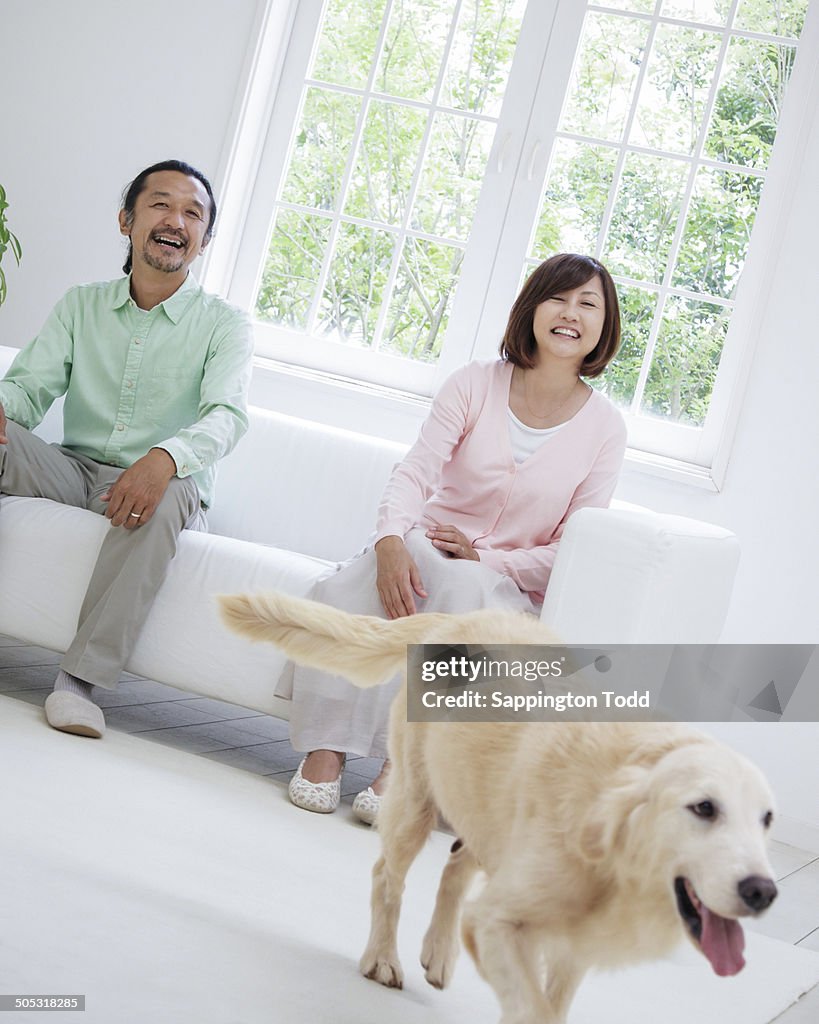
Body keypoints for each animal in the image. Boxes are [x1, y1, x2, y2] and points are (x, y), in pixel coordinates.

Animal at [221, 593, 778, 1024]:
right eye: (704, 808)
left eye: (766, 820)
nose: (763, 892)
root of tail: (457, 619)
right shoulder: (499, 922)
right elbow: (531, 1005)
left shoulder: (574, 943)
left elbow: (553, 1001)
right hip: (418, 801)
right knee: (388, 877)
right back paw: (382, 959)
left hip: (481, 806)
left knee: (455, 866)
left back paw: (437, 953)